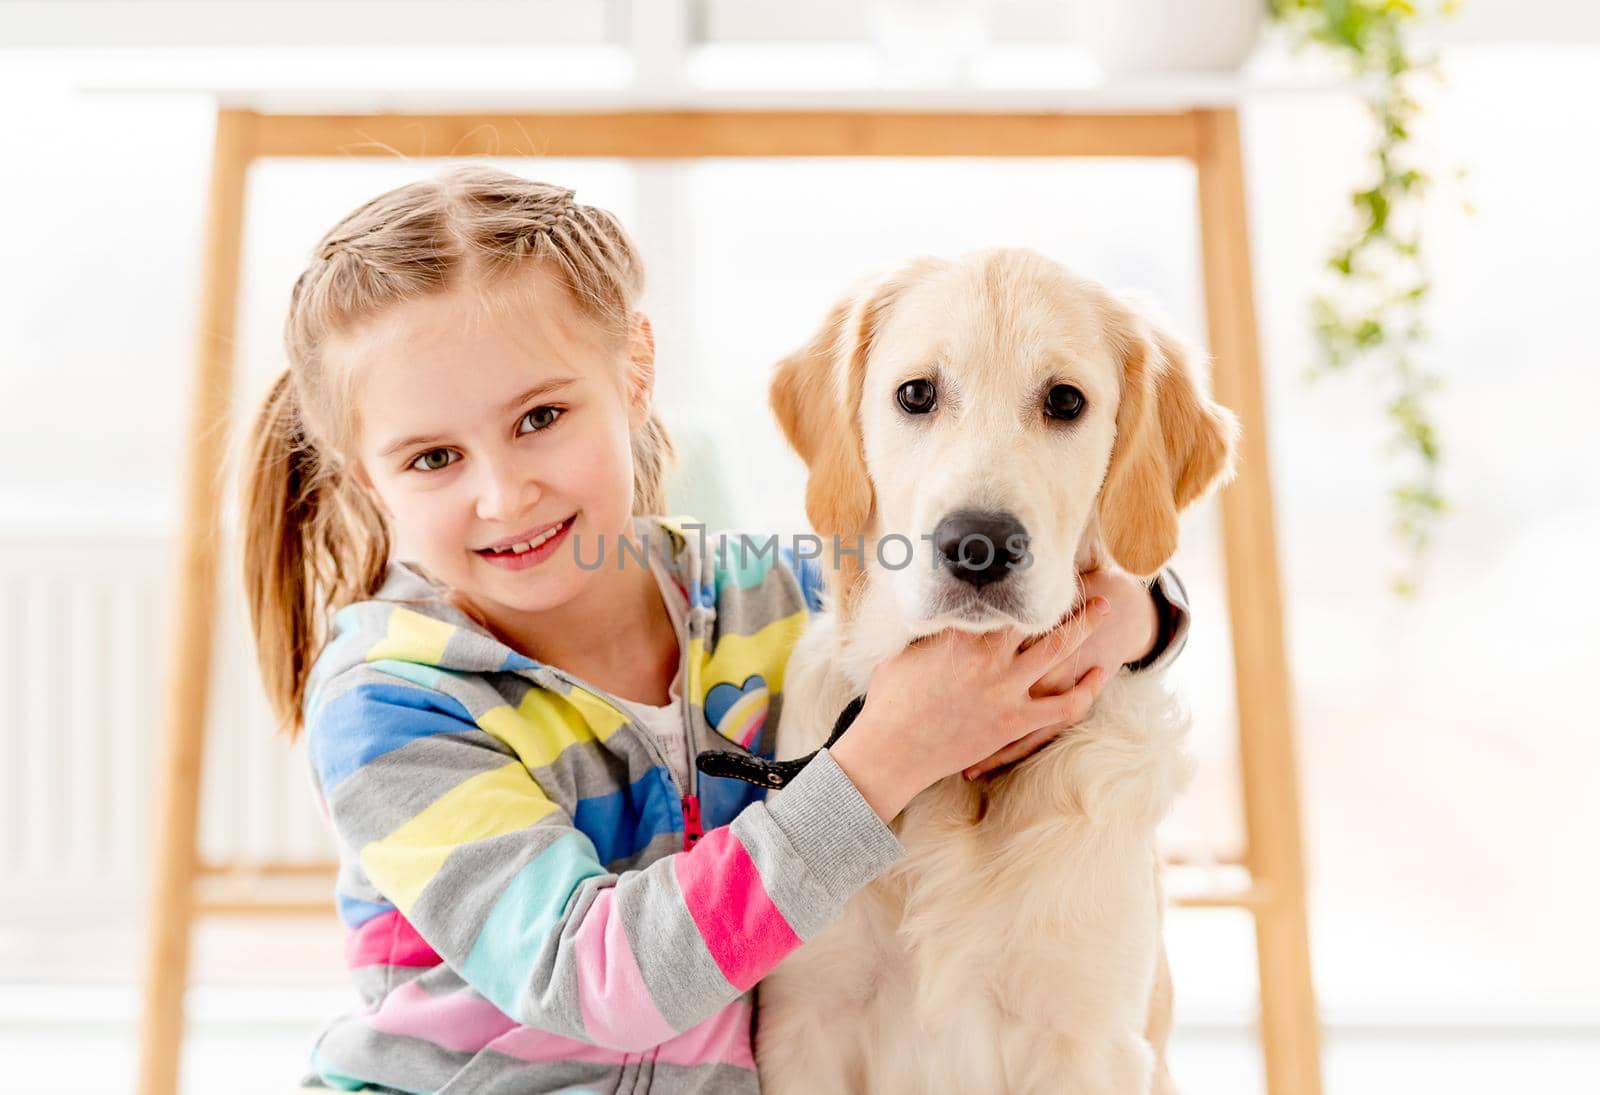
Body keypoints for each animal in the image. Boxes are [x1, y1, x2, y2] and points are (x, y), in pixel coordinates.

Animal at [758, 249, 1235, 1095]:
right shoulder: (806, 1024)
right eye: (916, 393)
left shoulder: (1086, 1038)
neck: (959, 777)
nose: (978, 544)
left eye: (1066, 400)